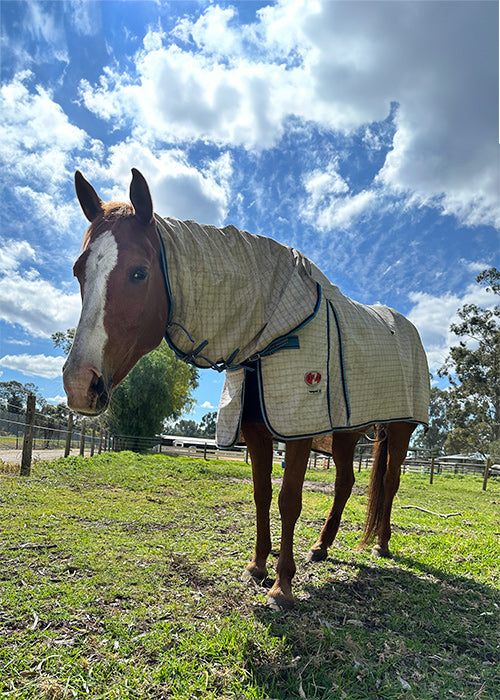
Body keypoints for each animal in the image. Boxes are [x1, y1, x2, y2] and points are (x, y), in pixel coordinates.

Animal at [63, 167, 430, 608]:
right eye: (79, 271)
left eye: (139, 272)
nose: (79, 384)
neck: (271, 331)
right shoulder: (255, 430)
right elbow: (261, 494)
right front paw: (257, 566)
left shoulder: (298, 429)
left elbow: (289, 501)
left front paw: (282, 584)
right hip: (346, 432)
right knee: (345, 483)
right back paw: (322, 546)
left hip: (400, 429)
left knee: (389, 483)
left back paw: (382, 544)